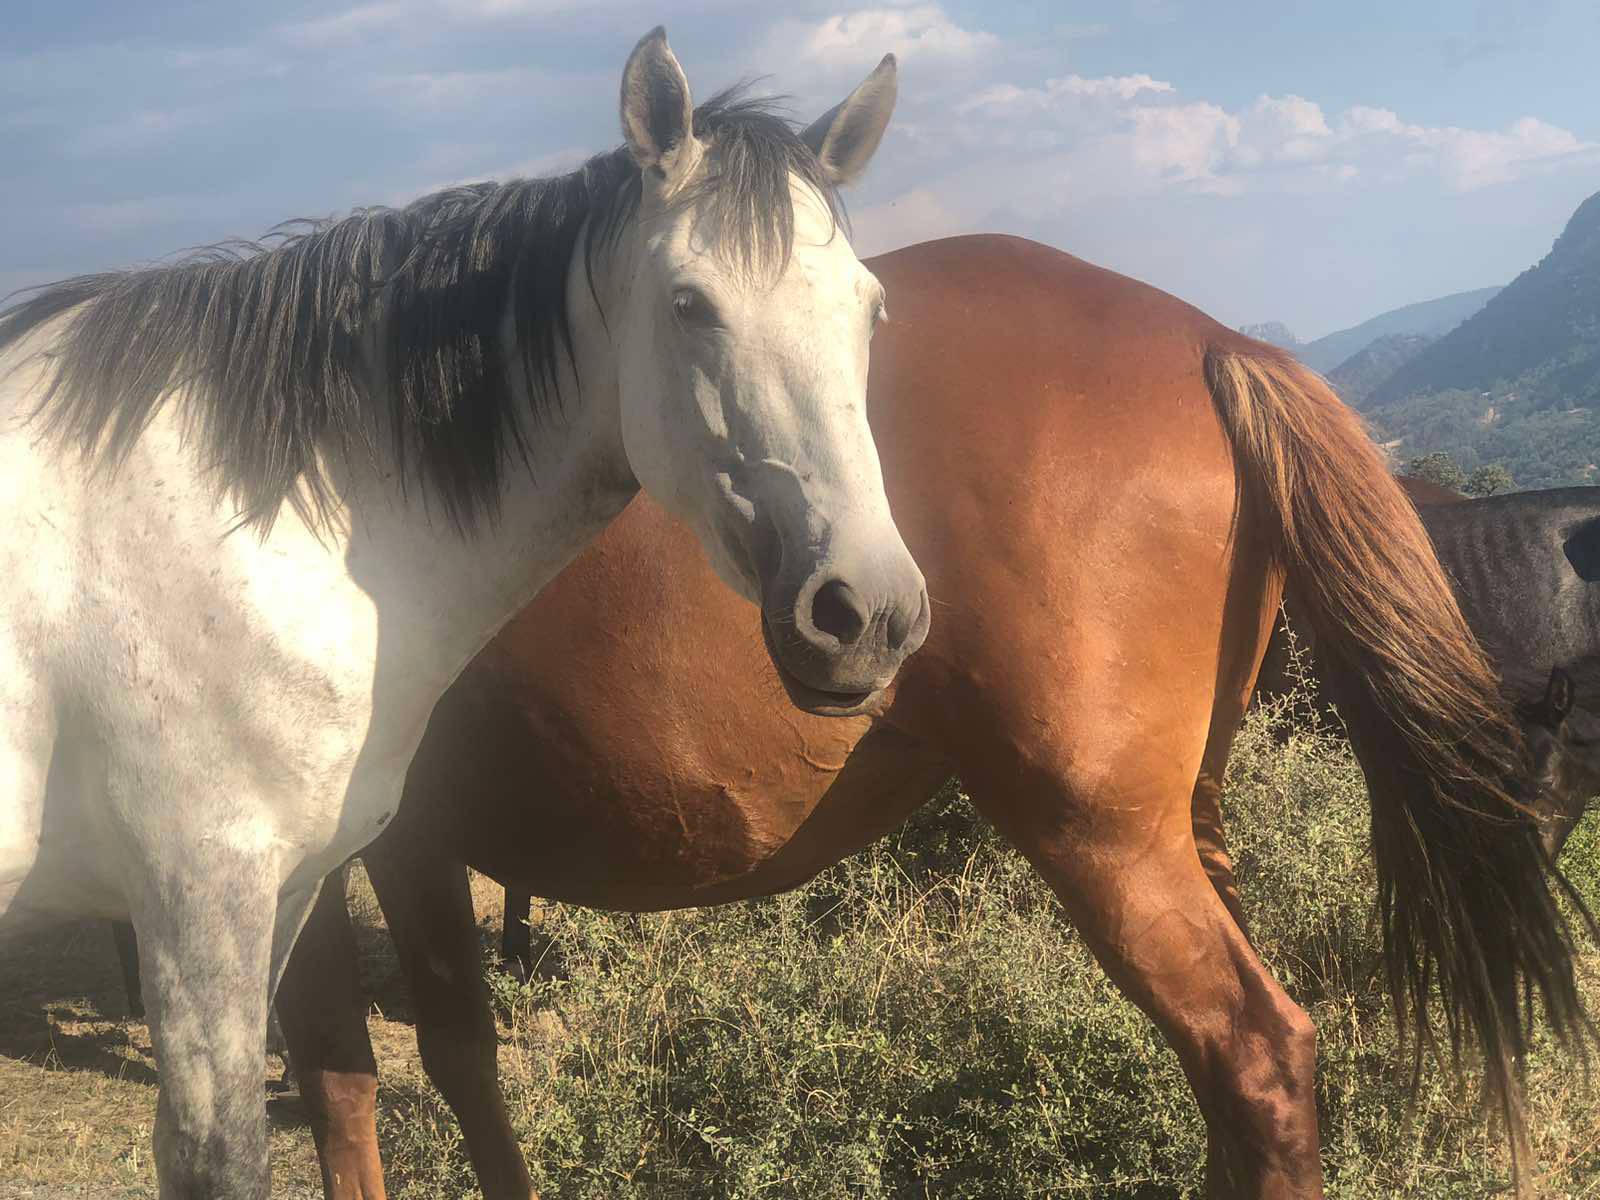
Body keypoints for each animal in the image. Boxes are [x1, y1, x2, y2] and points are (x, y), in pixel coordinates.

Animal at [0, 30, 928, 1200]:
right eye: (689, 304)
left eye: (870, 307)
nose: (868, 612)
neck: (251, 534)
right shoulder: (200, 900)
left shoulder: (288, 893)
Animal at [272, 236, 1587, 1200]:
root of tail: (1212, 341)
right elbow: (415, 1061)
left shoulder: (358, 850)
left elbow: (373, 1068)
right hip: (1181, 821)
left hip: (1098, 833)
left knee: (1256, 1057)